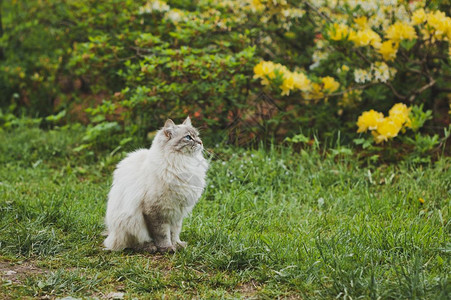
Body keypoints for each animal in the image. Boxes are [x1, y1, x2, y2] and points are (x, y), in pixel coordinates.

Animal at [103, 117, 208, 253]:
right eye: (188, 137)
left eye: (197, 135)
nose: (201, 142)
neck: (181, 162)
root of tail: (111, 232)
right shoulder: (157, 212)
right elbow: (162, 234)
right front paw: (167, 248)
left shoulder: (177, 213)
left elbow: (174, 233)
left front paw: (178, 245)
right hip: (129, 222)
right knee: (132, 243)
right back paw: (150, 247)